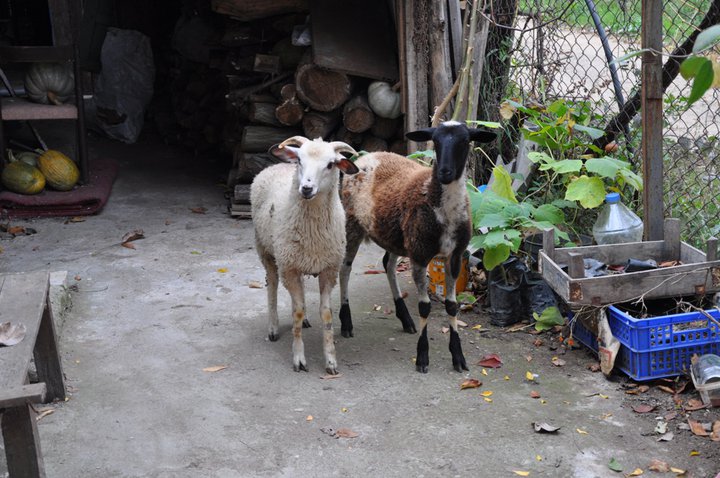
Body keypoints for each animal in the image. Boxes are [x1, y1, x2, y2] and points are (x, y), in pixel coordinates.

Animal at [252, 134, 358, 374]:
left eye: (330, 164)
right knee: (272, 285)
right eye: (300, 160)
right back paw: (273, 327)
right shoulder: (289, 268)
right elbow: (297, 311)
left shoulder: (328, 269)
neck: (312, 232)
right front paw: (299, 358)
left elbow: (325, 313)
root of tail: (277, 165)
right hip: (267, 251)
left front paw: (331, 361)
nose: (307, 188)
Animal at [338, 120, 496, 374]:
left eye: (465, 141)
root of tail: (367, 155)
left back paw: (405, 318)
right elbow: (424, 308)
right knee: (345, 269)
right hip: (352, 223)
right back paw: (346, 322)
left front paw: (458, 356)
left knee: (387, 264)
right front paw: (422, 357)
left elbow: (452, 306)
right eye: (436, 141)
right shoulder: (420, 255)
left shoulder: (454, 256)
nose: (444, 172)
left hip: (396, 236)